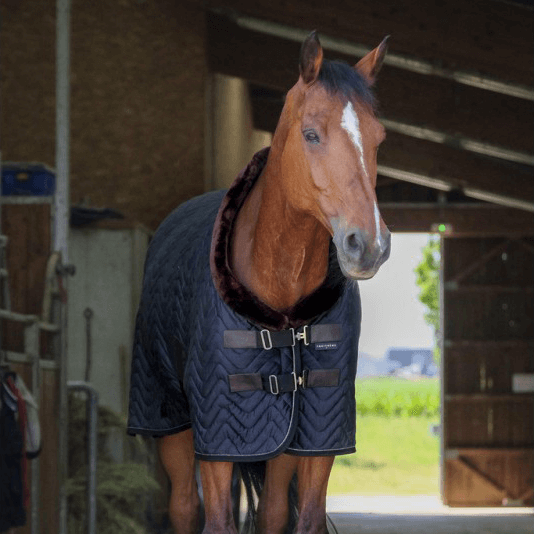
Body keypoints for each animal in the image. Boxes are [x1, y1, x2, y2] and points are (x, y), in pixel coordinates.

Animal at [127, 32, 392, 534]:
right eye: (311, 134)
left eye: (379, 138)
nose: (368, 244)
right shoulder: (217, 442)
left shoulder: (316, 441)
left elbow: (302, 517)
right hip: (171, 424)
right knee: (184, 507)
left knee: (270, 511)